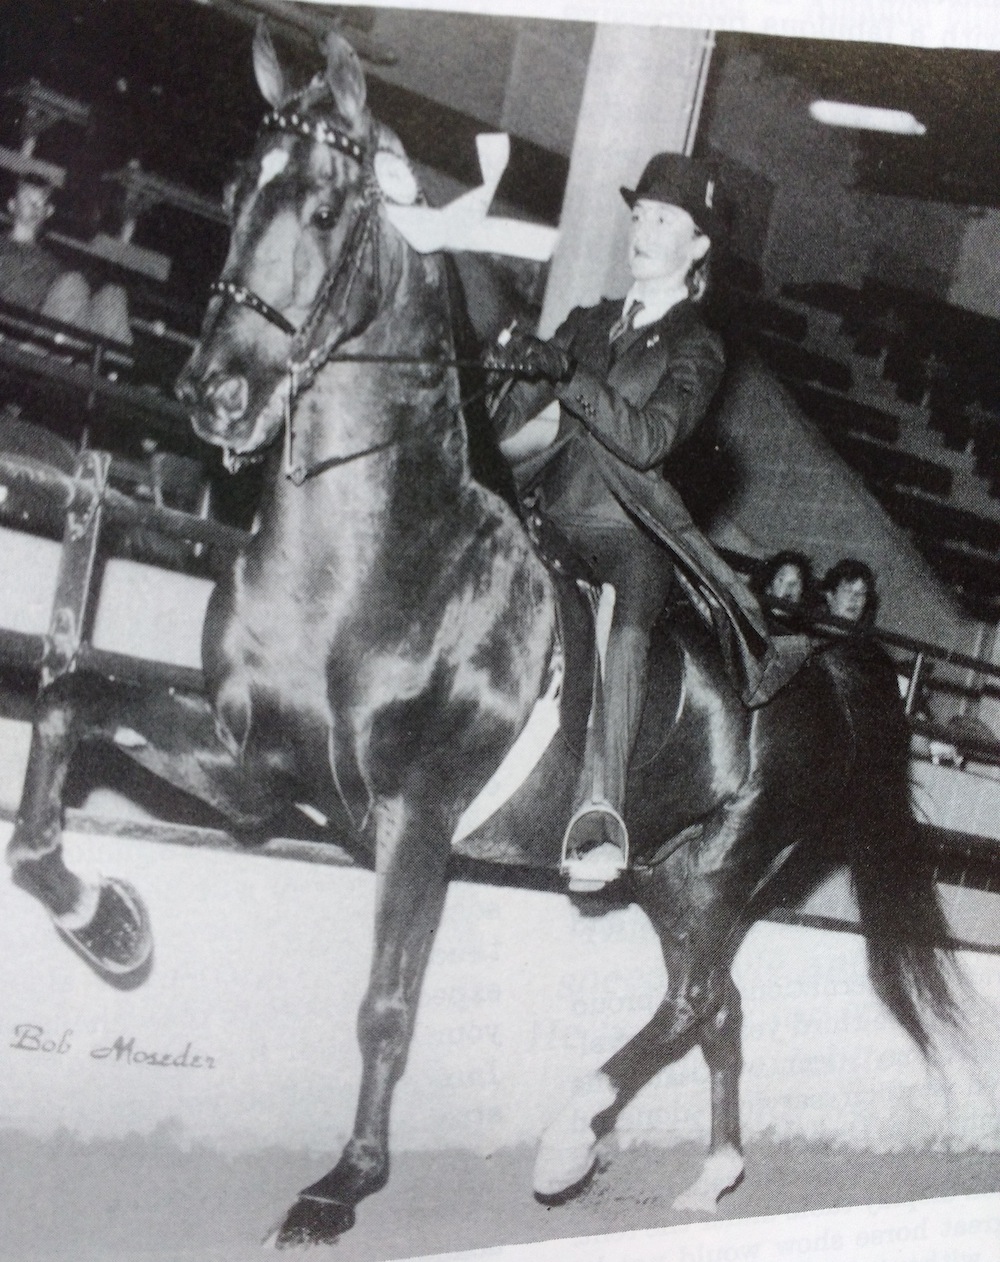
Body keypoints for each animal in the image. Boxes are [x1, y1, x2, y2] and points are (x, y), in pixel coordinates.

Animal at [9, 24, 959, 1246]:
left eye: (326, 208)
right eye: (231, 192)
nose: (215, 394)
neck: (371, 560)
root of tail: (815, 659)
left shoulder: (416, 814)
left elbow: (386, 1003)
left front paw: (339, 1188)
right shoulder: (255, 768)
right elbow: (69, 702)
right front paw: (109, 924)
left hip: (726, 867)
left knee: (695, 995)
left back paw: (569, 1140)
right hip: (674, 872)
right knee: (716, 1004)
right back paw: (706, 1175)